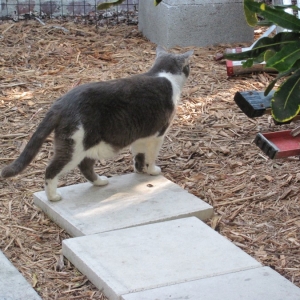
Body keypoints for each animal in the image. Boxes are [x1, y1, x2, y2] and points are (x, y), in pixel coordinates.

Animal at [1, 46, 193, 202]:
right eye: (188, 66)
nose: (191, 68)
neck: (164, 75)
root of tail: (61, 102)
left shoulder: (140, 135)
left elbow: (139, 155)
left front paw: (140, 170)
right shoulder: (158, 134)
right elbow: (151, 156)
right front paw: (152, 171)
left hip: (90, 143)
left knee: (85, 165)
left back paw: (100, 181)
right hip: (75, 146)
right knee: (52, 169)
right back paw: (53, 196)